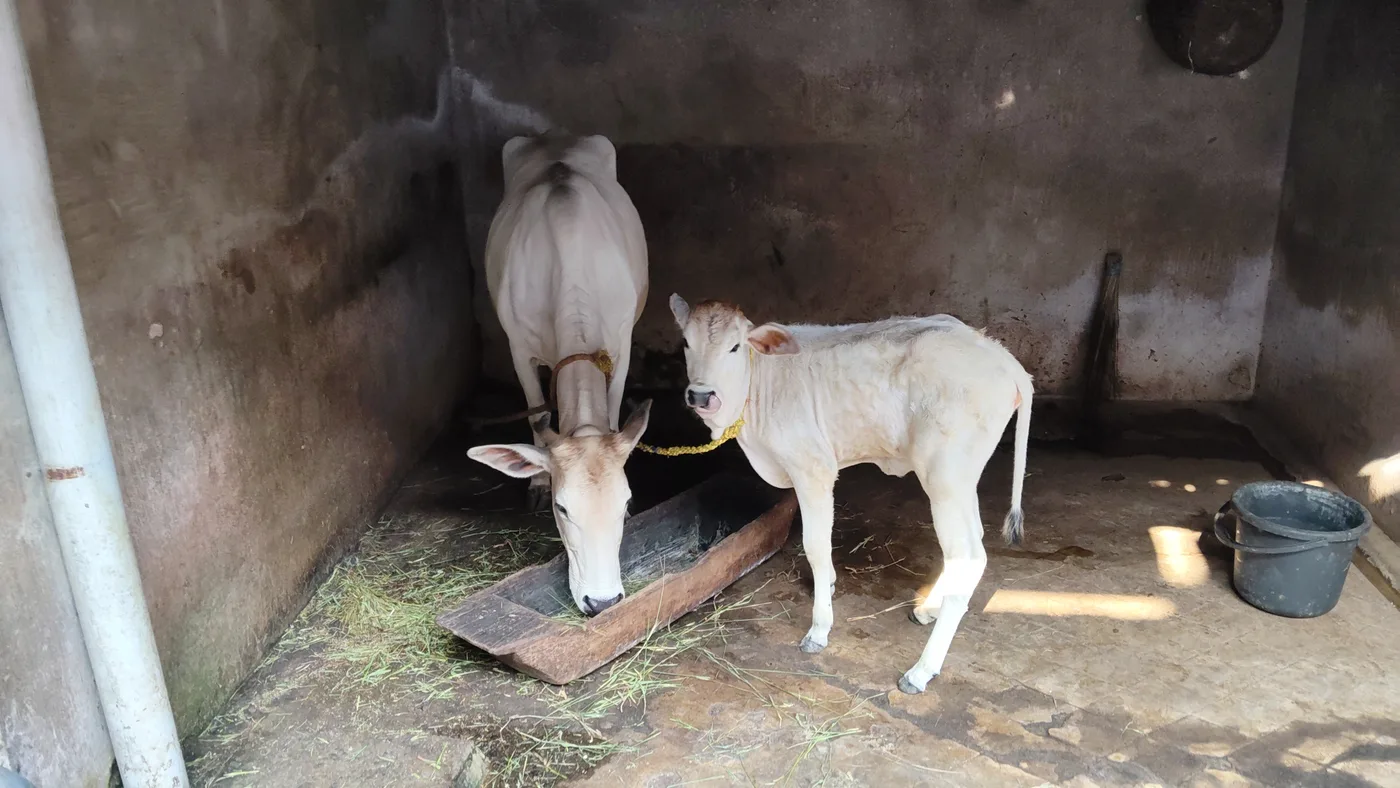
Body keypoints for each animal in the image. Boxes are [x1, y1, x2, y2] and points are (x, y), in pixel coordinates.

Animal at [467, 135, 650, 617]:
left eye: (626, 499)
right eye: (562, 509)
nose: (602, 601)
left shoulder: (622, 342)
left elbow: (612, 412)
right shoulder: (518, 348)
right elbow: (536, 417)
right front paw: (535, 482)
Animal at [668, 295, 1033, 693]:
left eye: (735, 346)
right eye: (686, 342)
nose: (701, 395)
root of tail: (1001, 356)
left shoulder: (814, 468)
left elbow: (815, 545)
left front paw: (820, 628)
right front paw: (827, 583)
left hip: (945, 476)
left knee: (969, 555)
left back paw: (921, 670)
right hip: (960, 481)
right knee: (968, 547)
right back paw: (928, 610)